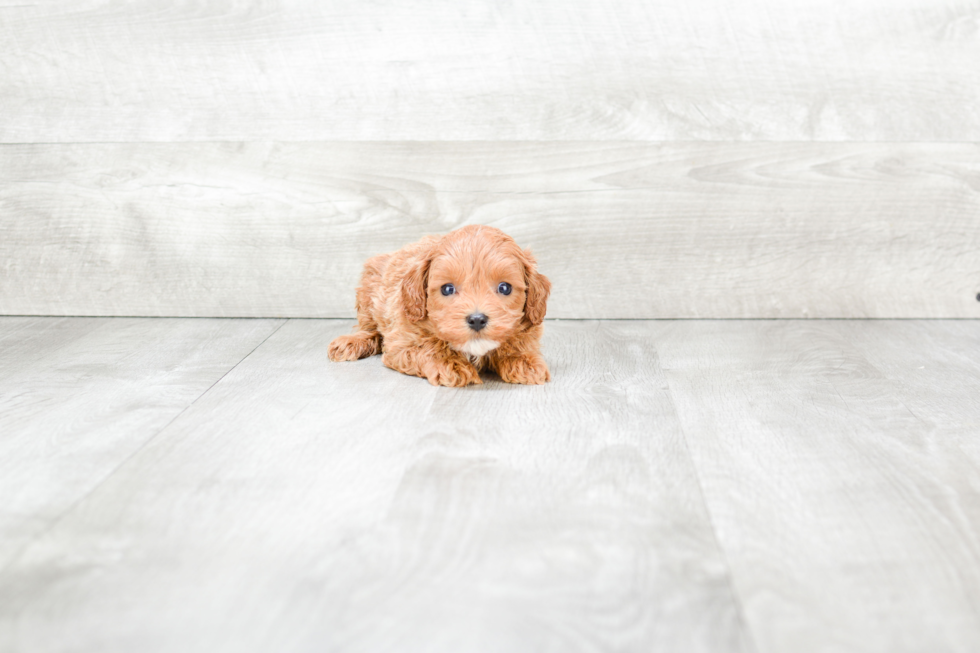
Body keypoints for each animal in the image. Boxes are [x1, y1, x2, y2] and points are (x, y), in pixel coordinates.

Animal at [332, 225, 552, 388]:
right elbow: (426, 349)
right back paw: (351, 343)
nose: (477, 319)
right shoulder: (400, 344)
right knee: (370, 329)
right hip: (368, 291)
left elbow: (517, 343)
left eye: (504, 288)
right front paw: (450, 363)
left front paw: (523, 361)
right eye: (447, 289)